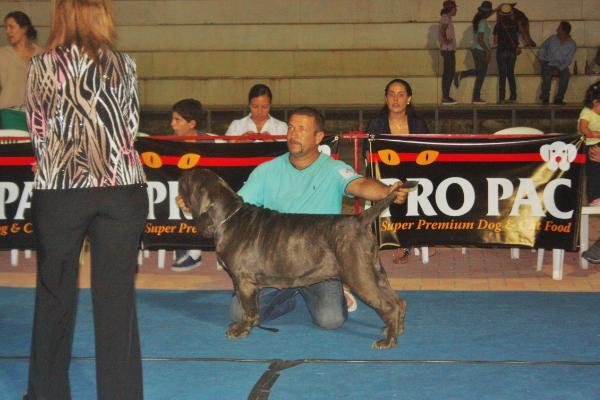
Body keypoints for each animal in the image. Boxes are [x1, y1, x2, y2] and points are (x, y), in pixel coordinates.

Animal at [178, 167, 408, 348]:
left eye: (189, 178)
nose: (181, 175)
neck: (226, 217)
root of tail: (360, 219)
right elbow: (249, 308)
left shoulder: (244, 282)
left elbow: (248, 309)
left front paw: (240, 330)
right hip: (376, 273)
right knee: (398, 301)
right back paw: (395, 330)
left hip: (359, 276)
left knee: (388, 306)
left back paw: (388, 341)